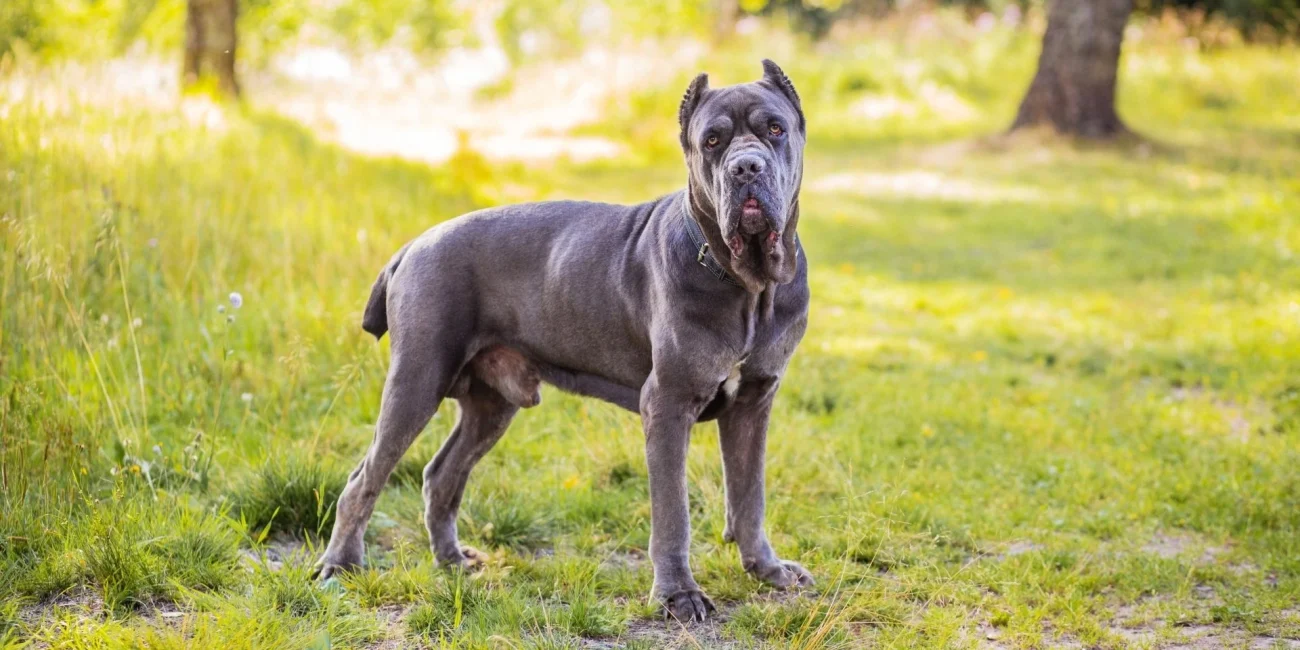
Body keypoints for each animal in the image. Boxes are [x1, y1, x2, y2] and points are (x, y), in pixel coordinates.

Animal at [313, 62, 806, 624]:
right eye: (713, 141)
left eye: (775, 129)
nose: (746, 168)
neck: (749, 283)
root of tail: (413, 244)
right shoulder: (668, 403)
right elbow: (673, 512)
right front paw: (678, 595)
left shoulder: (754, 402)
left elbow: (750, 495)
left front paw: (768, 570)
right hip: (416, 381)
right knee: (364, 478)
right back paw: (339, 565)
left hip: (492, 404)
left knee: (441, 475)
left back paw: (453, 561)